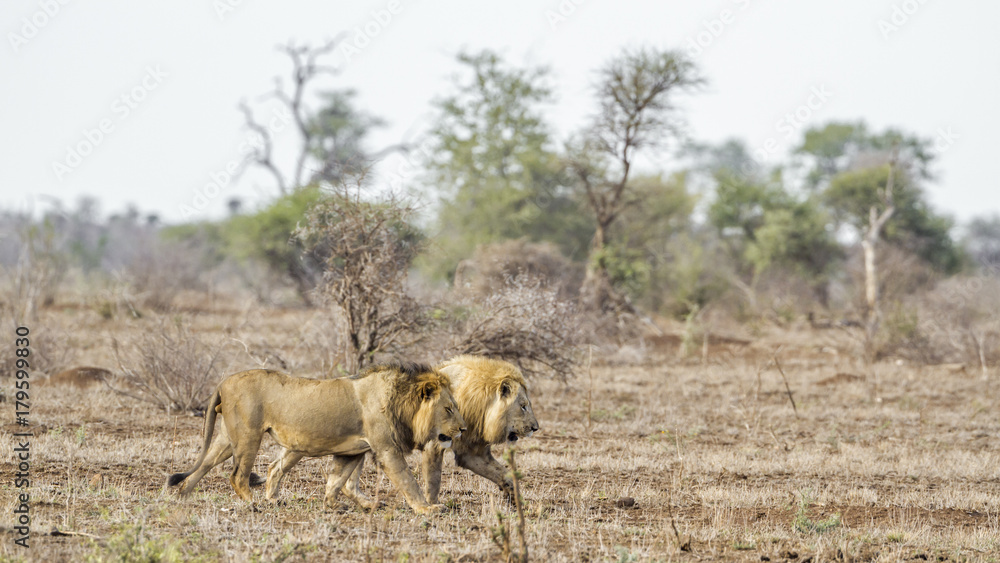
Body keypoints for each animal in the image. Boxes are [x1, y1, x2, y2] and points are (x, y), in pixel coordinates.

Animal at [166, 363, 466, 515]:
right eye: (449, 409)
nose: (463, 429)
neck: (398, 401)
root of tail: (224, 380)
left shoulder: (352, 450)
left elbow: (338, 480)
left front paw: (336, 505)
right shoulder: (386, 449)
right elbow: (407, 480)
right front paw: (427, 508)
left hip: (229, 439)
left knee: (207, 463)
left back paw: (183, 496)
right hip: (248, 435)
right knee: (238, 475)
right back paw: (255, 504)